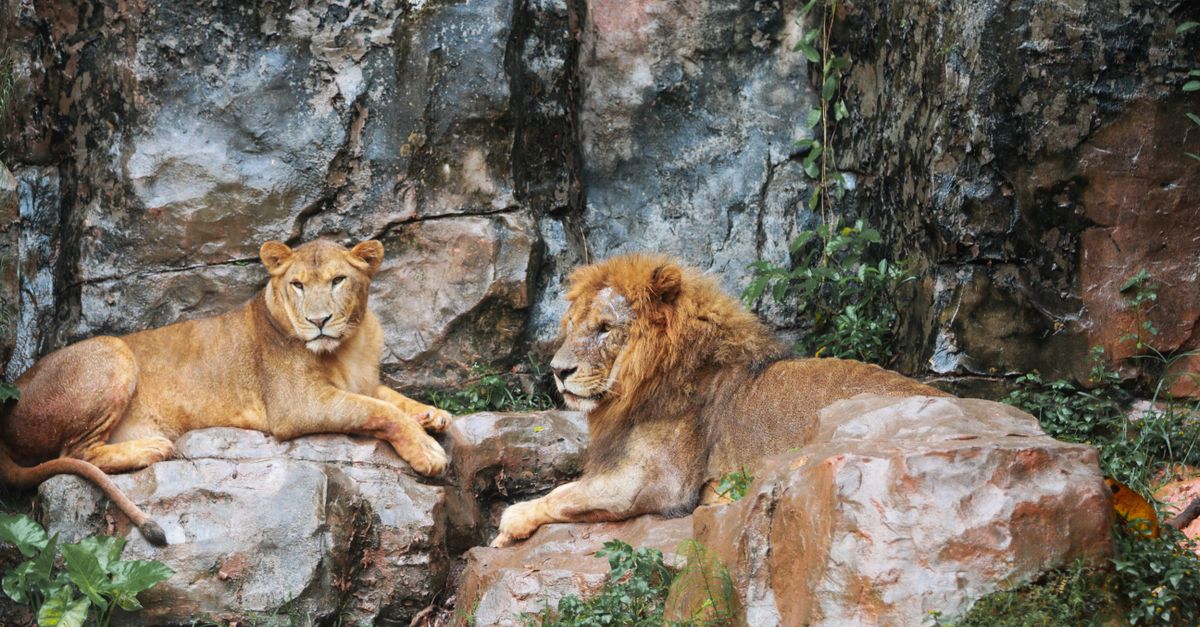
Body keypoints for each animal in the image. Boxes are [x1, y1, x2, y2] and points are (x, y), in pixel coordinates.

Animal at [0, 239, 452, 546]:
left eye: (339, 280)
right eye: (298, 285)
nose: (319, 321)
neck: (349, 344)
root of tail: (8, 402)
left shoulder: (363, 382)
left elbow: (390, 398)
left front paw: (432, 415)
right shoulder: (298, 405)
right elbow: (378, 410)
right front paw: (427, 450)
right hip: (113, 351)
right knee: (74, 452)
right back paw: (152, 448)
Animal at [491, 253, 947, 547]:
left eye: (605, 327)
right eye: (572, 326)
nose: (557, 370)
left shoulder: (656, 482)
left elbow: (565, 493)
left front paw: (510, 522)